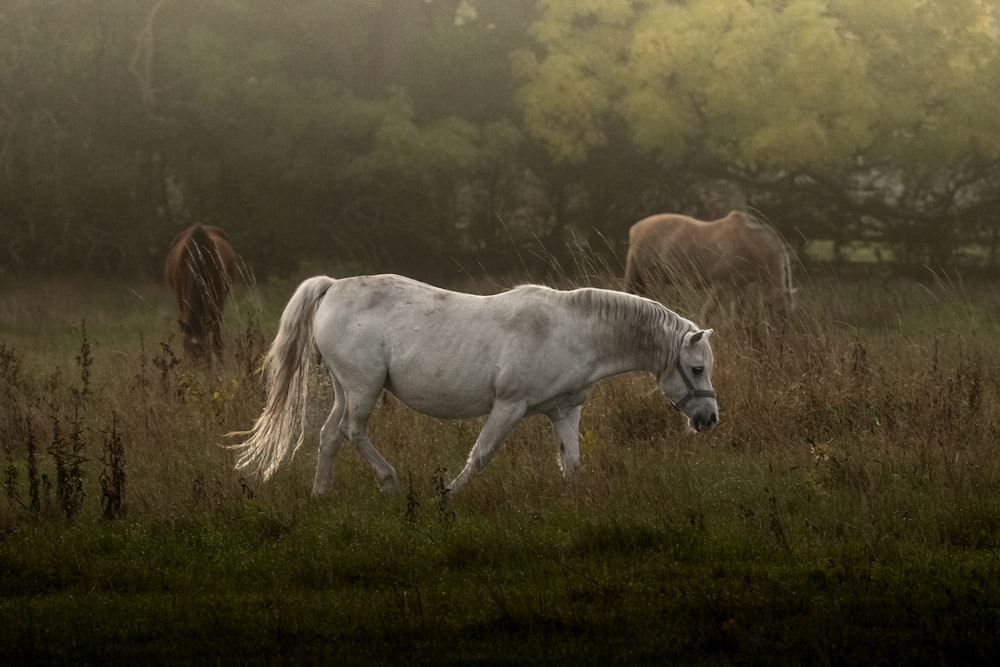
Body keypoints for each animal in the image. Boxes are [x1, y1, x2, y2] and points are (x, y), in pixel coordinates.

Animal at [232, 272, 720, 496]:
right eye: (697, 369)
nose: (710, 418)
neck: (573, 330)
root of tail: (333, 287)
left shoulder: (564, 410)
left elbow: (572, 463)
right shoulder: (509, 405)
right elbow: (481, 455)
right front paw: (447, 495)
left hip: (345, 389)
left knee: (330, 435)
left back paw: (321, 494)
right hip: (364, 389)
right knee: (353, 432)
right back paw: (389, 482)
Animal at [624, 211, 796, 320]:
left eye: (788, 315)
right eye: (778, 311)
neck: (746, 242)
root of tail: (635, 229)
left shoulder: (740, 288)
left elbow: (737, 320)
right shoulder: (719, 286)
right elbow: (705, 316)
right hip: (652, 280)